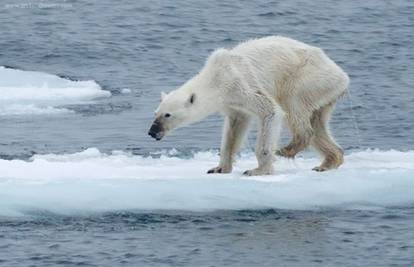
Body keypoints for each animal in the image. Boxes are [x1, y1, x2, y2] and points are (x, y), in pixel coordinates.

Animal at [149, 36, 350, 177]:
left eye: (167, 115)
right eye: (155, 112)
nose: (152, 131)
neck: (216, 78)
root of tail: (342, 76)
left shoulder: (240, 85)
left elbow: (270, 111)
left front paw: (258, 170)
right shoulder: (232, 103)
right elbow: (234, 129)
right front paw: (219, 168)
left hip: (307, 78)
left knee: (294, 106)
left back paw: (288, 149)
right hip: (323, 93)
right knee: (318, 123)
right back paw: (328, 162)